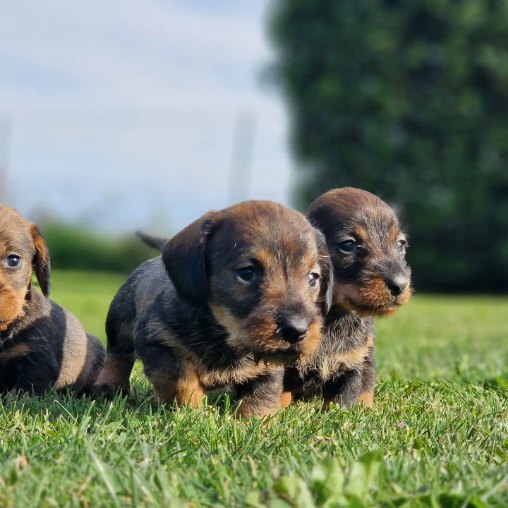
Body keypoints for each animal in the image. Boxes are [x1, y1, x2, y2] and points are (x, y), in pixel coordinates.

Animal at [95, 198, 334, 416]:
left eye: (313, 278)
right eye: (247, 272)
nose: (297, 330)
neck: (224, 337)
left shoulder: (268, 366)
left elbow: (262, 396)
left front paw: (255, 424)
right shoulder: (157, 341)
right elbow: (181, 380)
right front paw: (191, 412)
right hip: (119, 324)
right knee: (117, 357)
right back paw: (109, 386)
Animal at [282, 188, 412, 408]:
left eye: (401, 243)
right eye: (348, 245)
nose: (400, 285)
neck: (335, 317)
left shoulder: (352, 364)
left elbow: (342, 402)